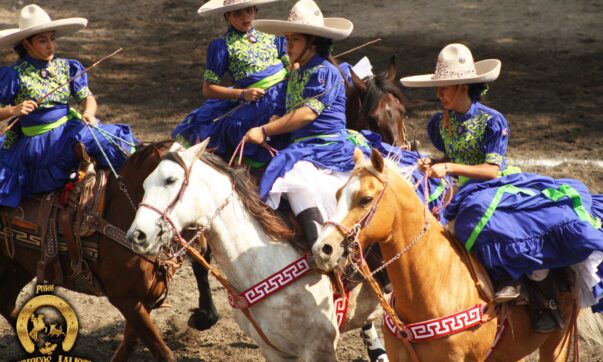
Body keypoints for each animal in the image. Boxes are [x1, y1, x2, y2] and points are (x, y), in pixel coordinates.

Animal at [0, 141, 217, 362]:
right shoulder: (125, 299)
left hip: (18, 268)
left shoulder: (145, 298)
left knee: (7, 303)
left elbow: (130, 342)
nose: (202, 244)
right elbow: (162, 352)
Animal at [128, 142, 384, 362]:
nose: (136, 235)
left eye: (170, 180)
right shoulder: (275, 352)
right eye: (144, 185)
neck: (264, 262)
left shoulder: (320, 348)